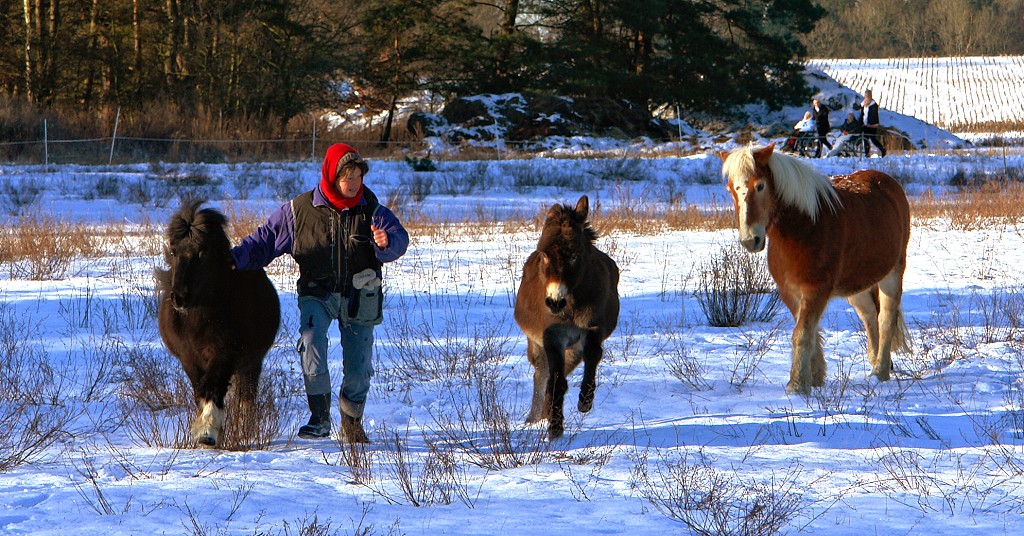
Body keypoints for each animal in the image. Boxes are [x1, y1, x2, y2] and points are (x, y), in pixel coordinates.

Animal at [154, 198, 280, 446]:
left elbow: (213, 386)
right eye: (173, 250)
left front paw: (207, 432)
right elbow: (199, 389)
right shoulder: (189, 358)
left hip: (251, 362)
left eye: (203, 252)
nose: (179, 297)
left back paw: (245, 427)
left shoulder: (225, 352)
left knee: (246, 393)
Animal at [516, 194, 618, 438]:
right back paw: (537, 417)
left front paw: (585, 400)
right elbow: (555, 382)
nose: (555, 302)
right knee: (541, 373)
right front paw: (555, 430)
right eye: (544, 256)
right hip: (538, 344)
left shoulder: (593, 329)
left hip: (573, 349)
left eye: (574, 256)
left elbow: (593, 355)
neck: (572, 305)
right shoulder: (552, 336)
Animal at [720, 143, 913, 393]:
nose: (749, 240)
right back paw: (876, 361)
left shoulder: (815, 291)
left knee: (886, 318)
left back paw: (880, 372)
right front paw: (815, 378)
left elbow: (802, 334)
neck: (806, 226)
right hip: (857, 286)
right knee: (870, 316)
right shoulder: (790, 292)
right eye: (730, 190)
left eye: (760, 185)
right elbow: (810, 332)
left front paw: (797, 385)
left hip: (892, 275)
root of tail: (888, 183)